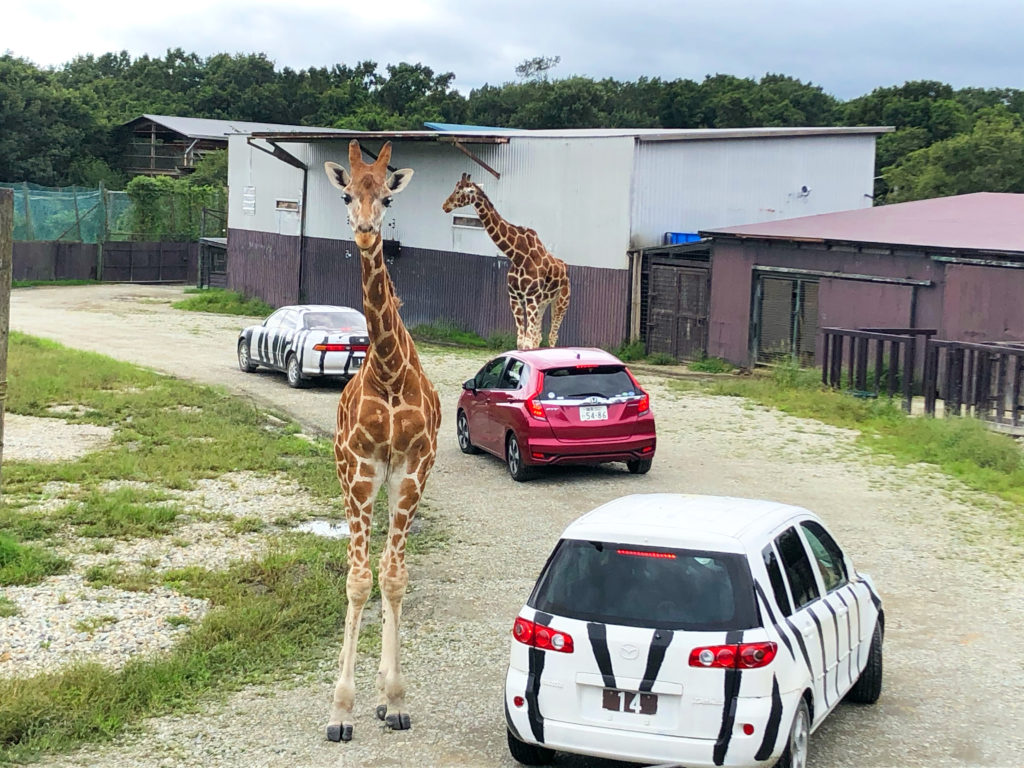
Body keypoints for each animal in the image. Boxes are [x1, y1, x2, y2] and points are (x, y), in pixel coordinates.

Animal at [440, 173, 569, 350]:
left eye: (459, 191)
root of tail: (564, 267)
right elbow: (521, 341)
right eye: (455, 188)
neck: (518, 256)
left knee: (552, 336)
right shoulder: (515, 298)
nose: (445, 205)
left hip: (561, 301)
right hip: (543, 303)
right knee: (538, 336)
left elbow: (527, 342)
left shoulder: (531, 298)